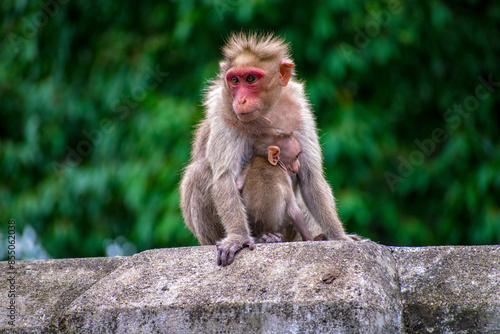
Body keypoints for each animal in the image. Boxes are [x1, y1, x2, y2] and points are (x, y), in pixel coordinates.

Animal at [182, 32, 358, 266]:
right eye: (234, 80)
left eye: (250, 79)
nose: (241, 100)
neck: (266, 112)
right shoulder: (223, 112)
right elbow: (224, 177)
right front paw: (238, 237)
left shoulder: (300, 110)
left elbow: (310, 177)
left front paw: (339, 237)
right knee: (200, 172)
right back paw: (263, 237)